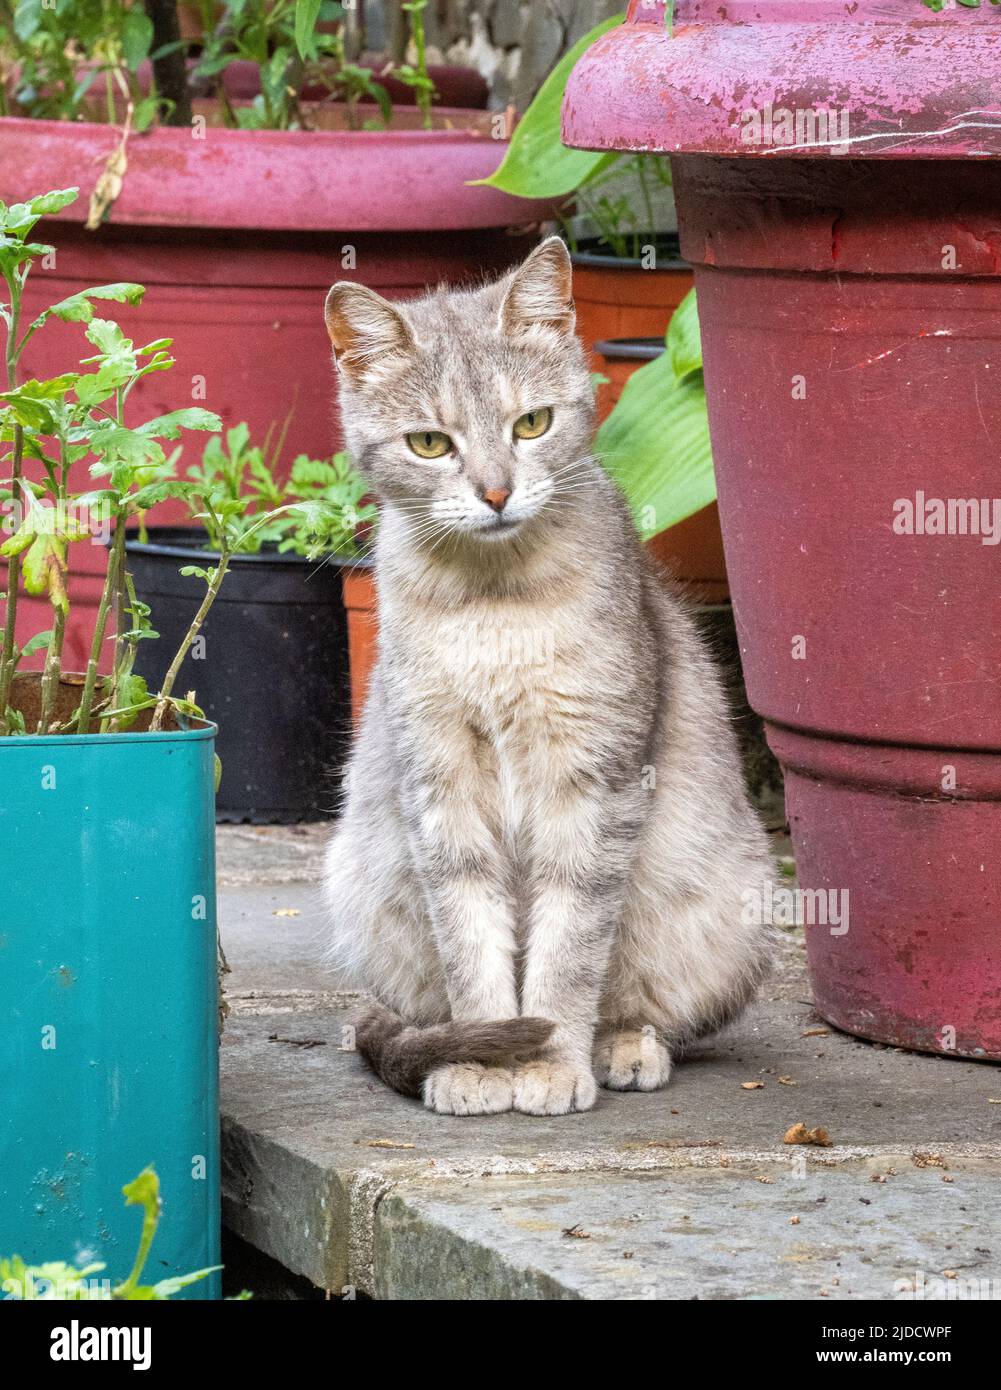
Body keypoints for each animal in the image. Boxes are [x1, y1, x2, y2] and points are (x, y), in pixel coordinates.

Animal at [321, 236, 772, 1117]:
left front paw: (550, 1062)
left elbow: (568, 949)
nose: (496, 491)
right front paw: (483, 1059)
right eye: (430, 444)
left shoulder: (593, 780)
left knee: (639, 1004)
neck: (495, 601)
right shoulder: (439, 783)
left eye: (532, 424)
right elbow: (470, 943)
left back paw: (621, 1046)